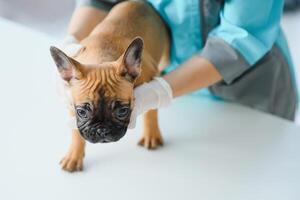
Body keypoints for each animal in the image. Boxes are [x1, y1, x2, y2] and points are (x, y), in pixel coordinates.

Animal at [50, 0, 170, 172]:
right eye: (82, 112)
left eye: (122, 111)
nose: (102, 130)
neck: (102, 57)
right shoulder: (71, 105)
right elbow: (75, 132)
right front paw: (74, 154)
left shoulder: (152, 77)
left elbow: (151, 112)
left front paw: (151, 134)